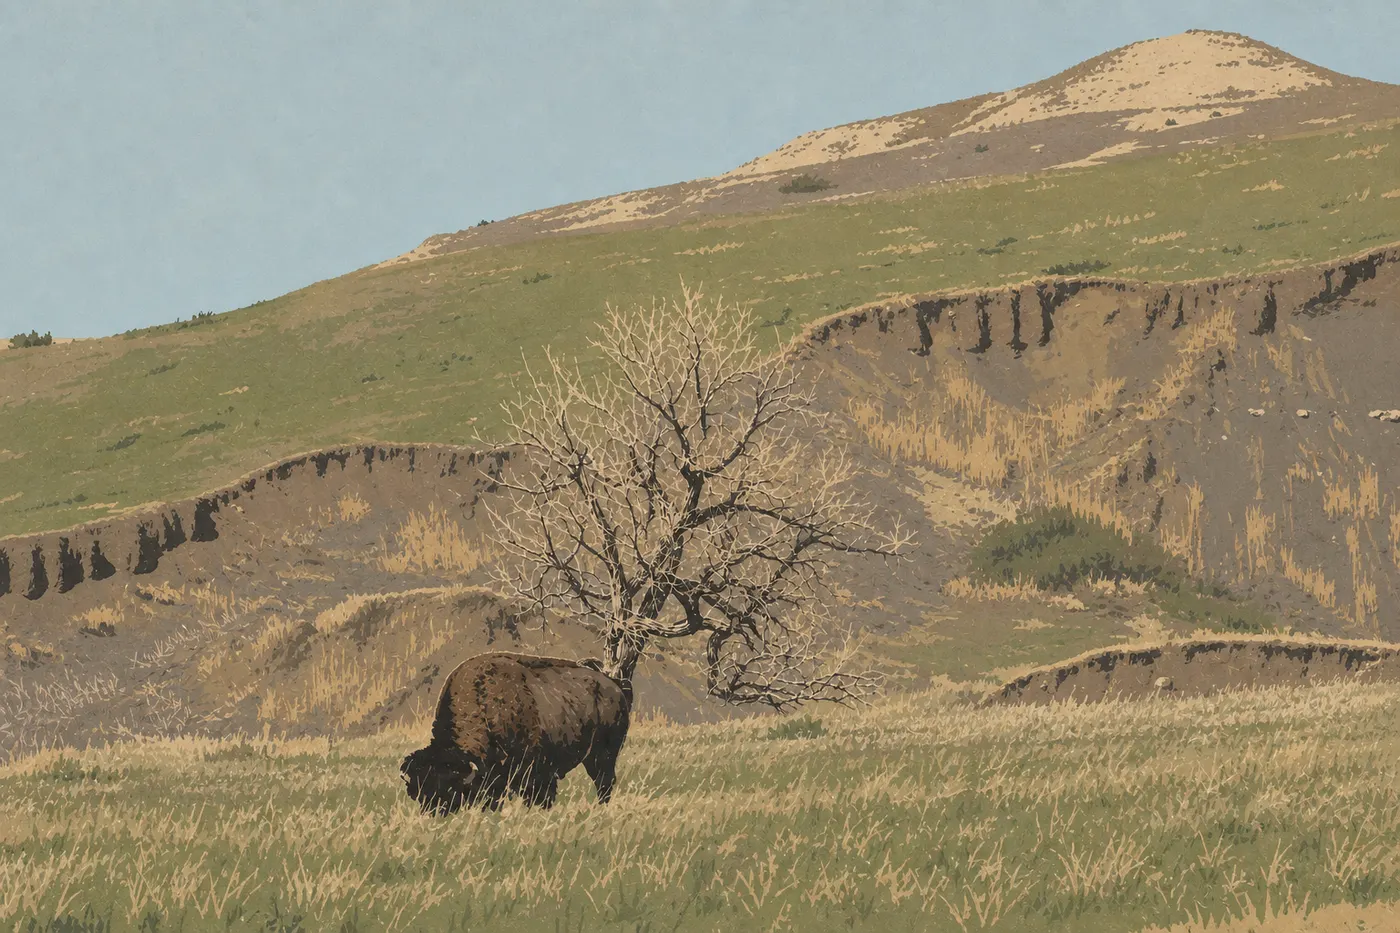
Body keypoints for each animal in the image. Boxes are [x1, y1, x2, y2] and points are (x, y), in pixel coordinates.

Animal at [400, 652, 630, 814]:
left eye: (449, 790)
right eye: (417, 794)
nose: (433, 814)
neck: (485, 705)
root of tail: (615, 688)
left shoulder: (532, 773)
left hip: (603, 757)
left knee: (604, 783)